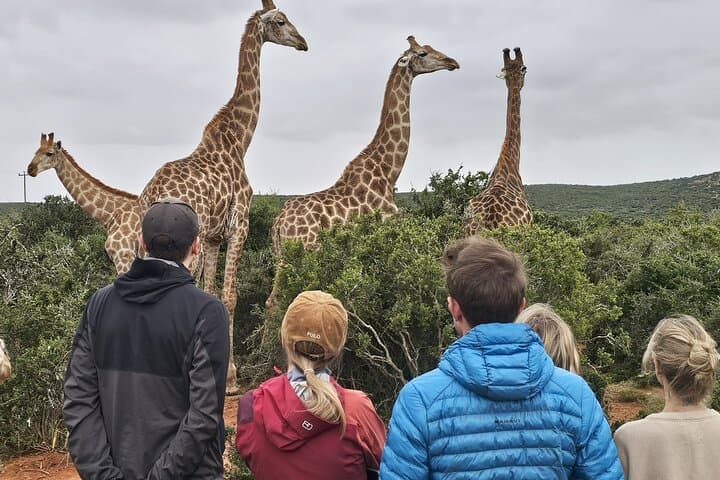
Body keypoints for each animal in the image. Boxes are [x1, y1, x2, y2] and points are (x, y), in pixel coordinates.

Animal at [135, 0, 307, 394]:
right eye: (280, 21)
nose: (303, 42)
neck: (240, 139)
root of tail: (152, 194)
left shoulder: (213, 237)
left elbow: (212, 293)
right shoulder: (239, 222)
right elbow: (229, 296)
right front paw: (229, 378)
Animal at [266, 35, 459, 308]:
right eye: (422, 53)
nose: (452, 62)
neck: (388, 171)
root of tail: (278, 225)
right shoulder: (387, 234)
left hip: (281, 256)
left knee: (271, 302)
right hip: (304, 252)